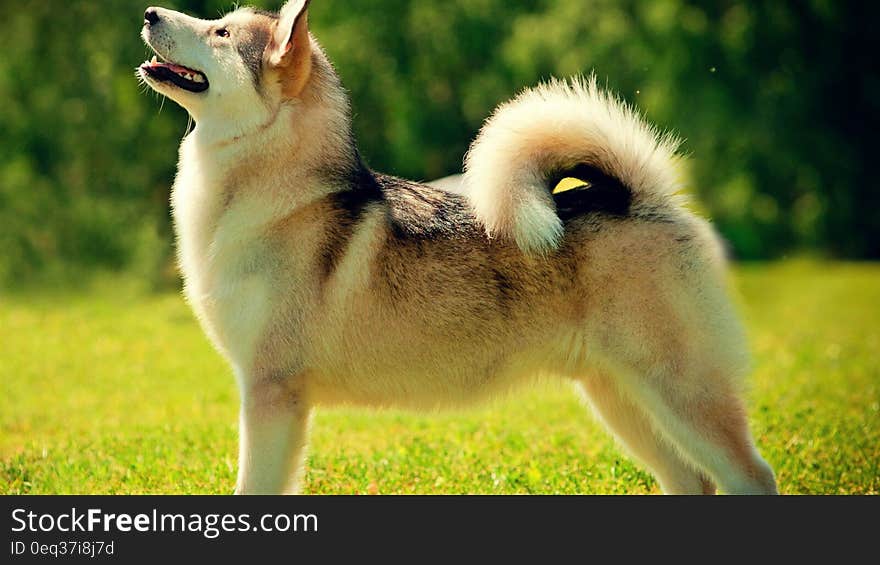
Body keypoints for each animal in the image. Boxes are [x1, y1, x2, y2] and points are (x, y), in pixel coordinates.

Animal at [138, 0, 776, 494]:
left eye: (221, 33)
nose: (147, 12)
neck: (274, 195)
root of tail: (645, 197)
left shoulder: (273, 391)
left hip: (681, 390)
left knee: (750, 475)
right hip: (621, 398)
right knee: (691, 479)